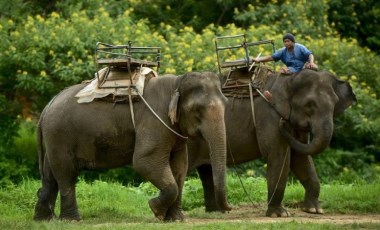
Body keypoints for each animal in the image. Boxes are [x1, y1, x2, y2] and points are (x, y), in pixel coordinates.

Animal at [34, 71, 232, 222]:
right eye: (197, 110)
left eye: (226, 105)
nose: (229, 207)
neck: (176, 82)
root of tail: (46, 108)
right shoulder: (154, 122)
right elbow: (144, 161)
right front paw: (156, 210)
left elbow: (180, 167)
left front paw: (176, 220)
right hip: (60, 135)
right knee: (66, 174)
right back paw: (72, 220)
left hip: (54, 138)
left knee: (50, 175)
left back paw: (44, 219)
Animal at [187, 68, 356, 217]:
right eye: (309, 105)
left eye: (335, 103)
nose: (283, 123)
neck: (289, 79)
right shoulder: (269, 116)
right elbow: (278, 156)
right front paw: (279, 214)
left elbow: (301, 158)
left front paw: (315, 210)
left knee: (206, 171)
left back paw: (216, 212)